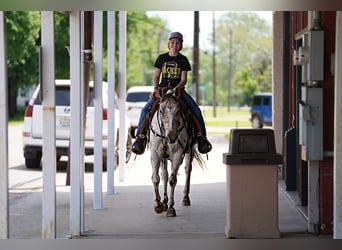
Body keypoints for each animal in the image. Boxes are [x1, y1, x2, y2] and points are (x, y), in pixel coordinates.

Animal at [148, 88, 204, 217]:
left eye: (178, 111)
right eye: (161, 111)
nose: (172, 137)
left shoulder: (178, 153)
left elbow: (172, 180)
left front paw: (170, 208)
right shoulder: (155, 153)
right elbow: (156, 178)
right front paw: (158, 205)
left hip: (189, 150)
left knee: (187, 169)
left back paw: (185, 199)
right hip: (163, 156)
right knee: (164, 174)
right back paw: (164, 202)